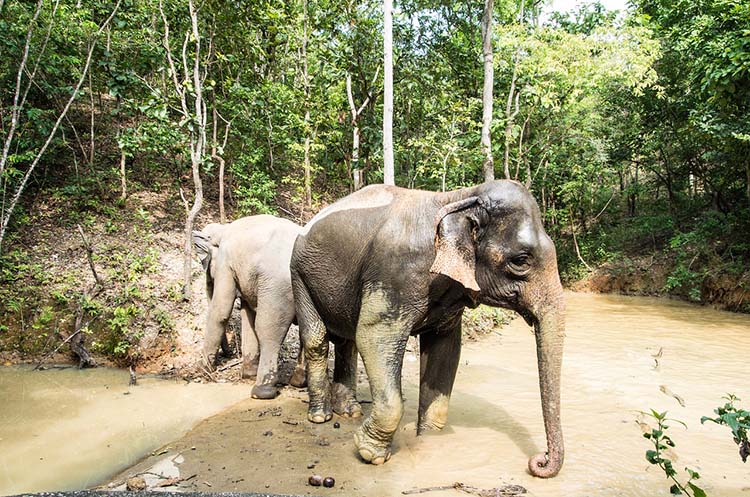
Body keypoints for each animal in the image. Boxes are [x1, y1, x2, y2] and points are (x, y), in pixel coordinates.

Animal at [197, 214, 308, 400]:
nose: (228, 354)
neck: (223, 229)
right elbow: (247, 313)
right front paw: (247, 374)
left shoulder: (225, 263)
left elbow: (221, 310)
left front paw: (201, 369)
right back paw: (298, 382)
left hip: (278, 287)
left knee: (268, 329)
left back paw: (261, 391)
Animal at [290, 179, 568, 476]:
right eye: (521, 261)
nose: (539, 461)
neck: (459, 197)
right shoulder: (394, 274)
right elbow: (373, 336)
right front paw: (370, 454)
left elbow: (444, 350)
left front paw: (430, 440)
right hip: (299, 275)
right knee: (318, 340)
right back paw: (321, 416)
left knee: (347, 341)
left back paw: (349, 412)